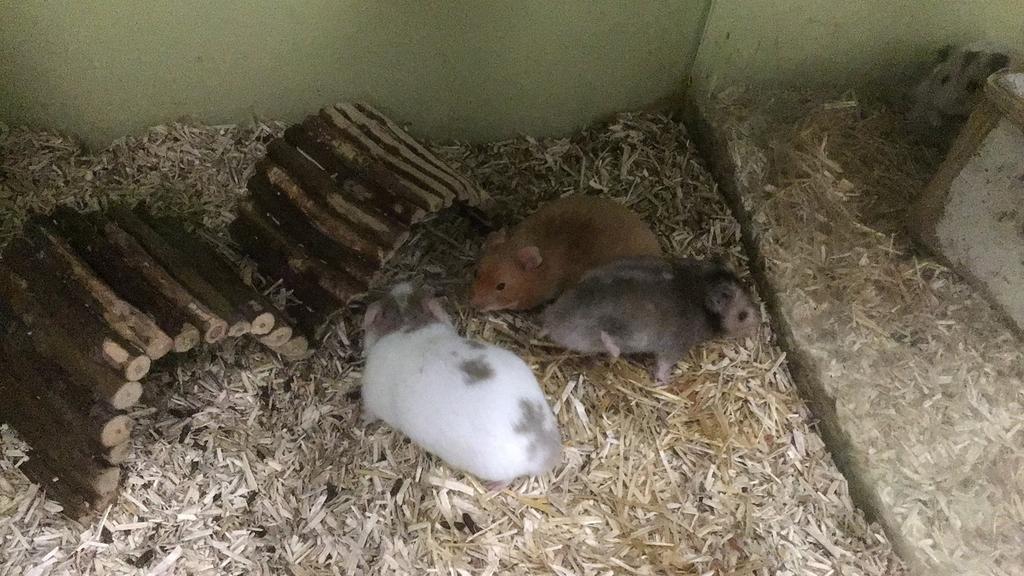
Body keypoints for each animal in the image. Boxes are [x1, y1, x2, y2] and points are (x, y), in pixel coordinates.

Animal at [361, 282, 562, 490]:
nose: (401, 285)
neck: (408, 322)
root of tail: (546, 450)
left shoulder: (371, 396)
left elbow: (369, 412)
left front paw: (363, 420)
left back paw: (492, 487)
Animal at [541, 256, 760, 385]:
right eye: (743, 315)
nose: (758, 324)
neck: (700, 289)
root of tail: (553, 319)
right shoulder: (674, 347)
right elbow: (663, 366)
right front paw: (665, 382)